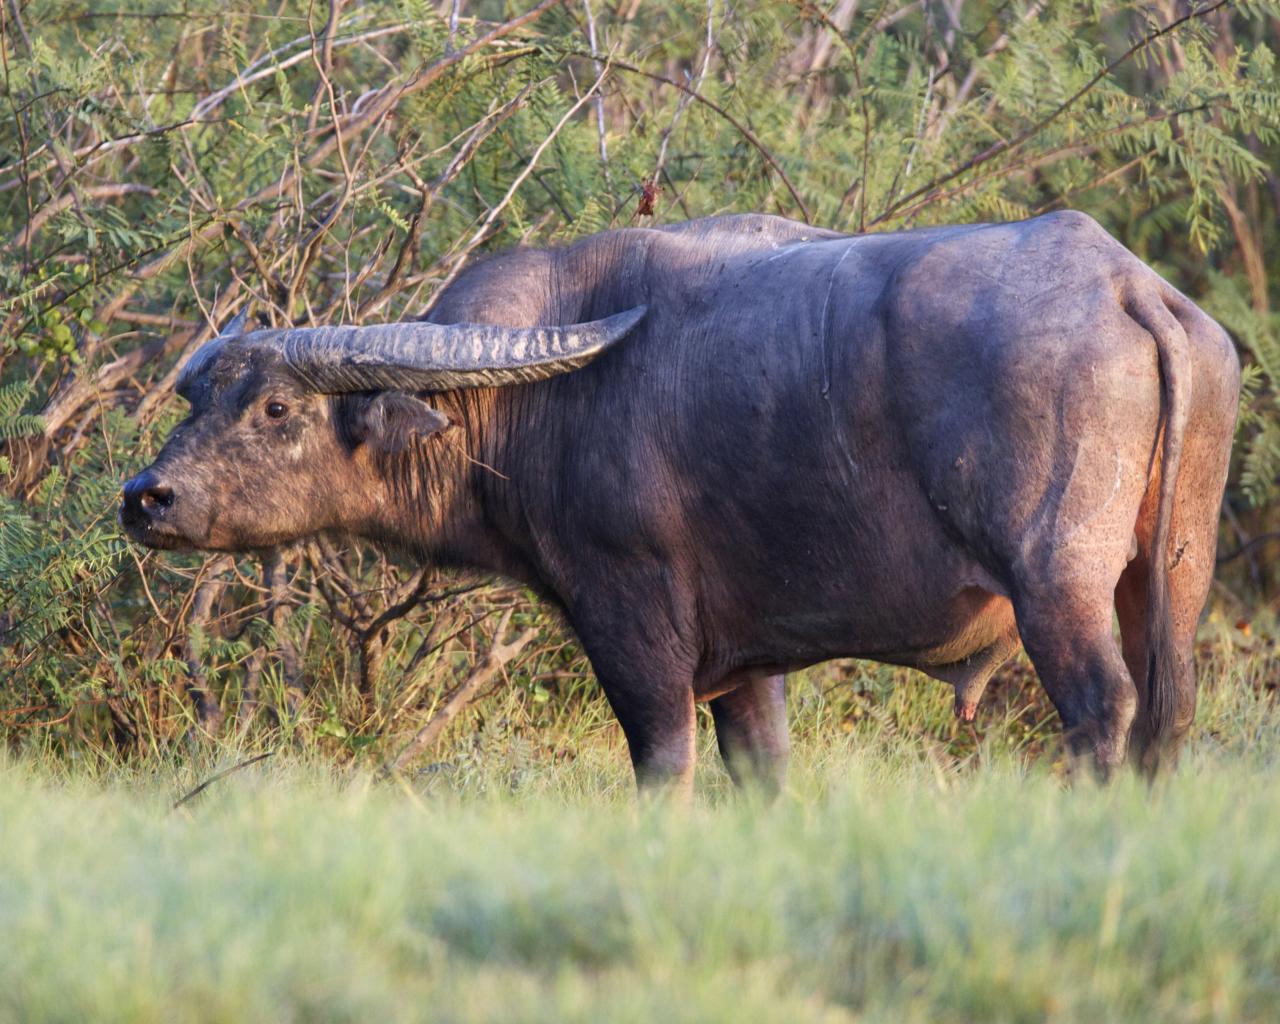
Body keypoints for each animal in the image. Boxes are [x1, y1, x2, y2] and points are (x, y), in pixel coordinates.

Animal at [120, 212, 1239, 793]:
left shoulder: (631, 618)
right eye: (194, 398)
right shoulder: (749, 661)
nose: (146, 497)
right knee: (1168, 709)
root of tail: (1124, 283)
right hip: (1168, 579)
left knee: (1101, 706)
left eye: (274, 406)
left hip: (1056, 584)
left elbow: (661, 762)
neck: (539, 403)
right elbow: (762, 769)